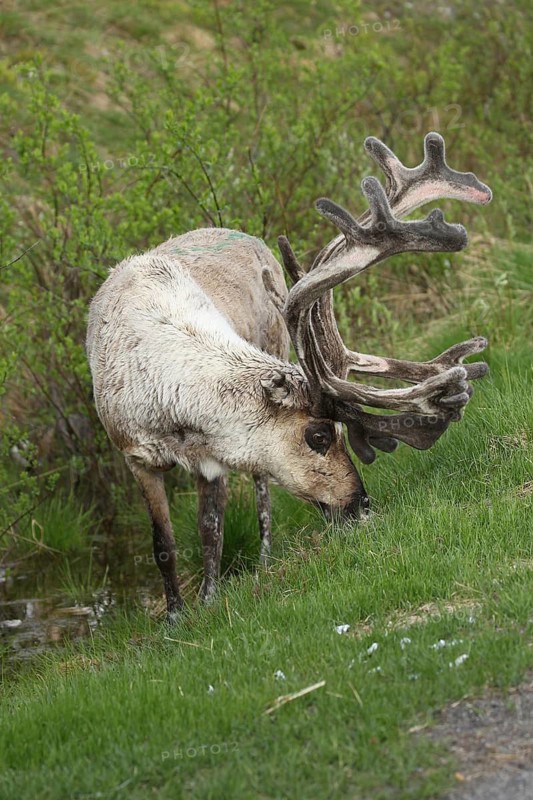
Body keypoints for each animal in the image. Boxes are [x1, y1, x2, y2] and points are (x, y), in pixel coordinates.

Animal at [86, 132, 492, 620]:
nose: (361, 505)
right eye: (318, 435)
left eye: (342, 432)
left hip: (276, 341)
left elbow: (210, 530)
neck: (171, 406)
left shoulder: (212, 458)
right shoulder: (135, 455)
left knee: (261, 491)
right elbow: (162, 544)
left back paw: (263, 557)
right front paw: (175, 617)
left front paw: (209, 599)